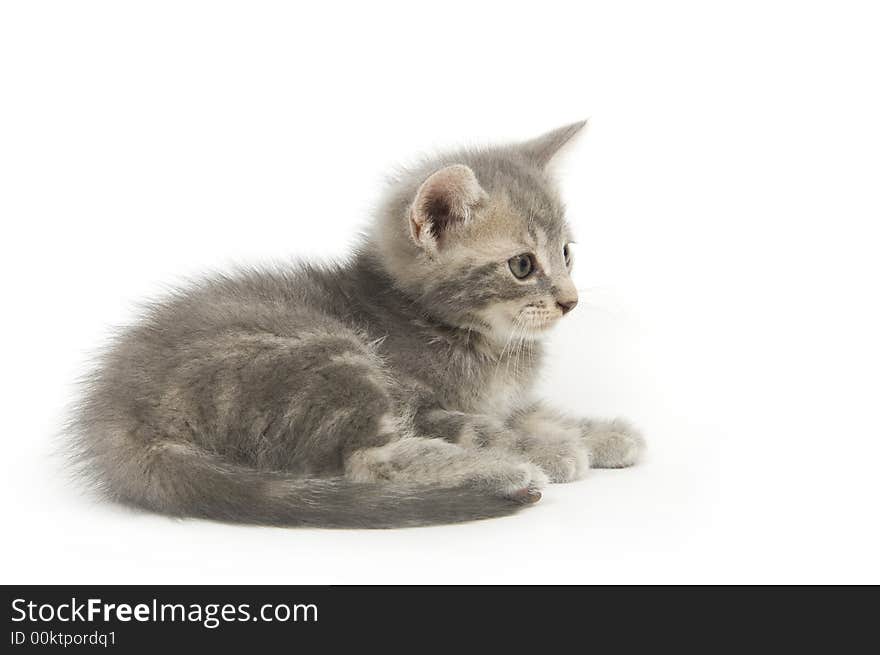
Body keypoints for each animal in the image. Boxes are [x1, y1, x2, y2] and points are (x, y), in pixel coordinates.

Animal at [70, 123, 648, 532]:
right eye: (523, 265)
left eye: (567, 253)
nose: (570, 301)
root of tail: (120, 418)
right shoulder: (420, 403)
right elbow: (485, 426)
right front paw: (547, 450)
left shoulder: (503, 398)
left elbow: (536, 413)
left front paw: (602, 433)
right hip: (326, 353)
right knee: (368, 462)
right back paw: (502, 473)